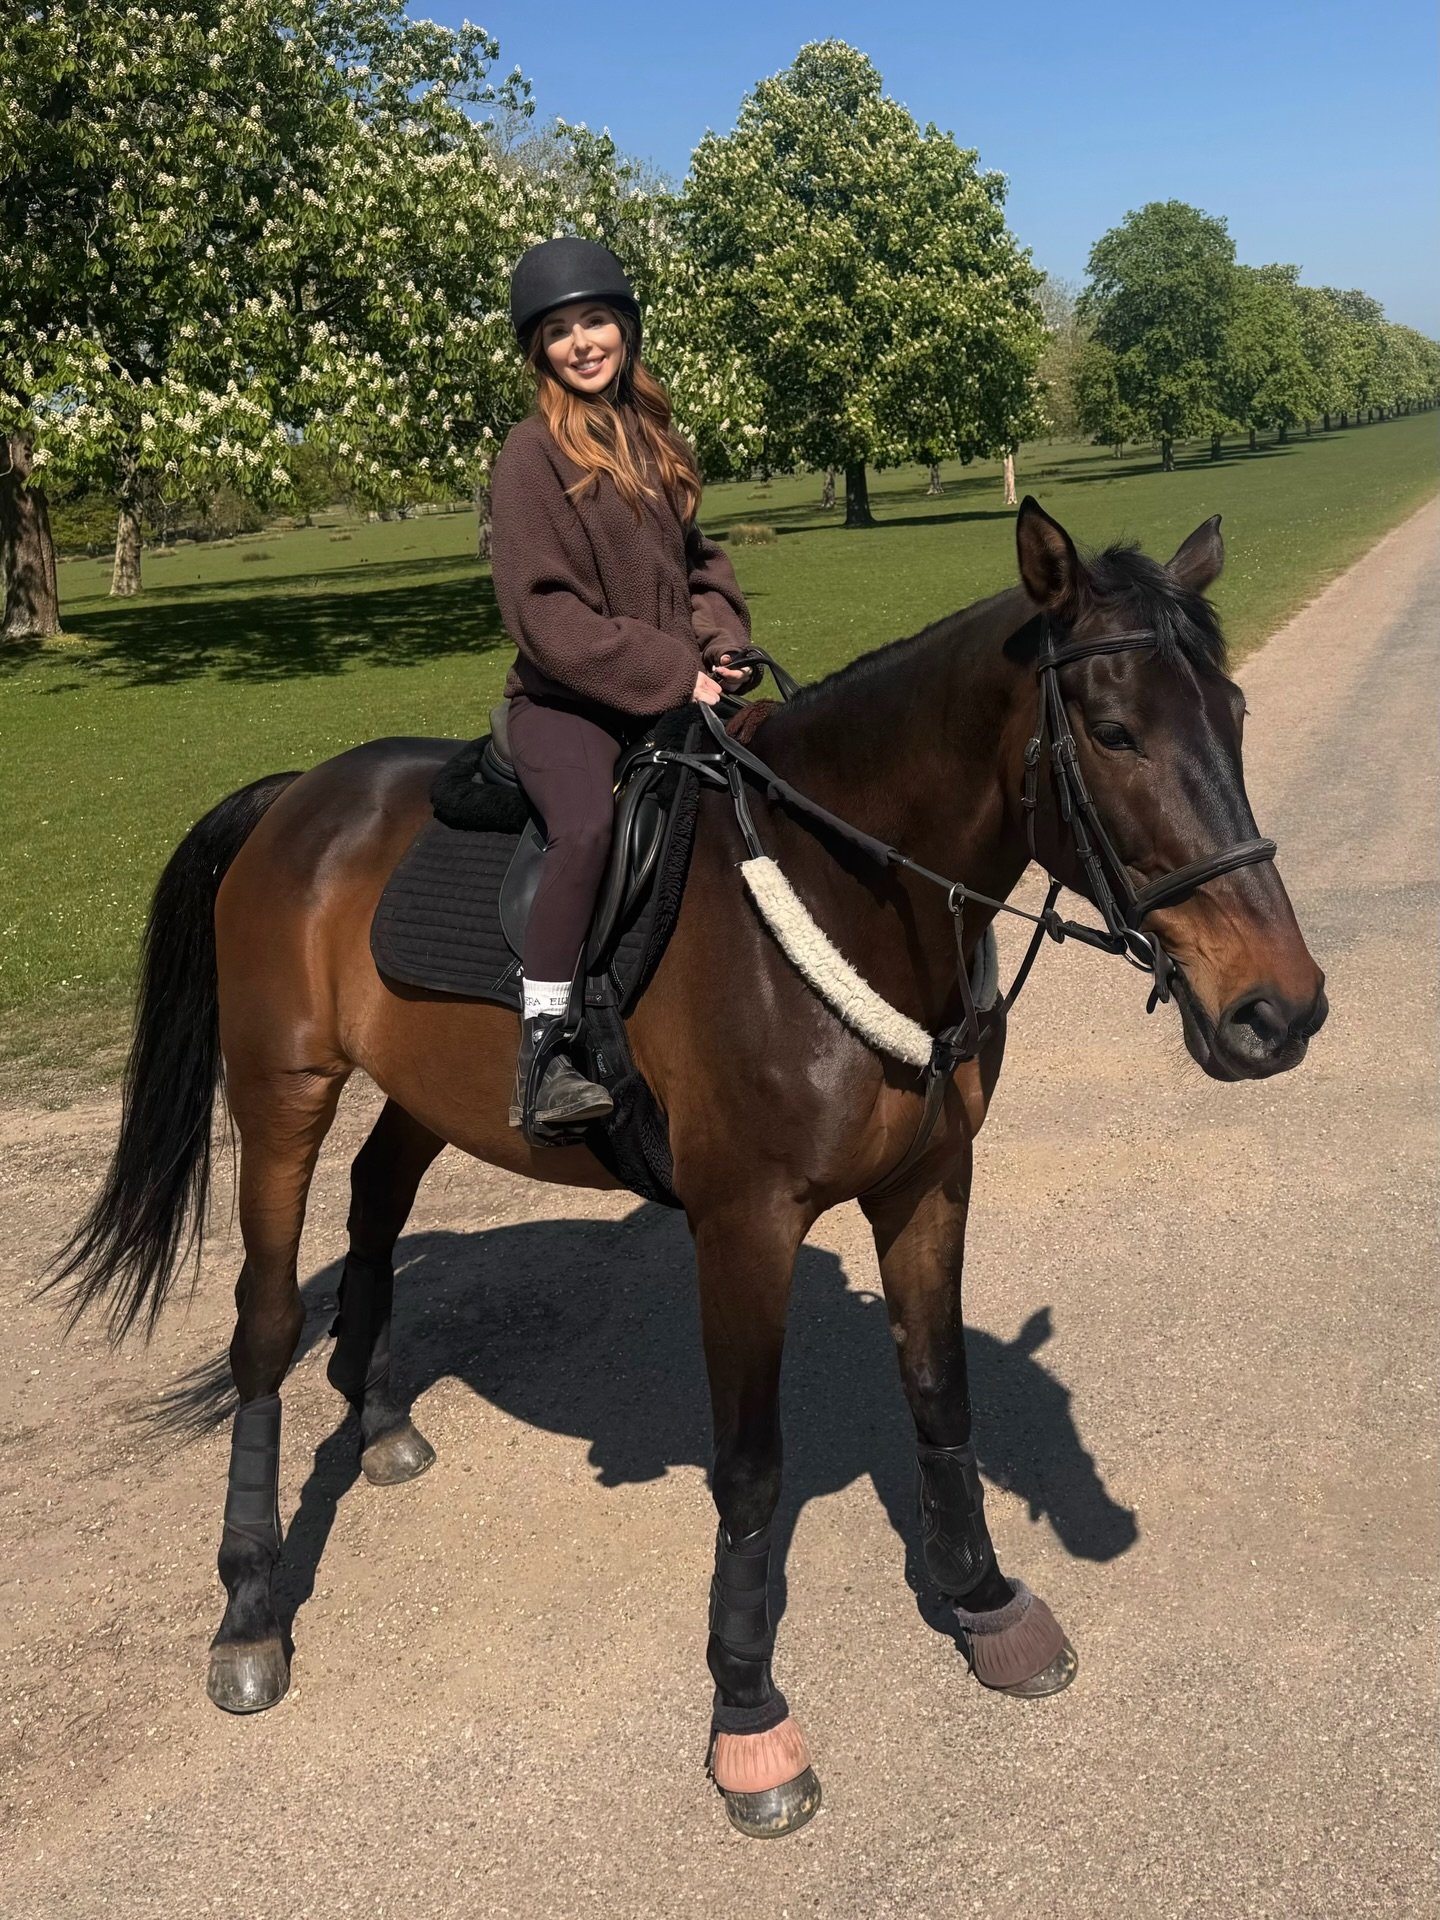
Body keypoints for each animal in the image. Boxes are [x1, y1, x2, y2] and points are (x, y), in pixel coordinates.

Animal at [52, 499, 1326, 1839]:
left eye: (1234, 716)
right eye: (1115, 731)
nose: (1278, 1010)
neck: (846, 888)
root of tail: (299, 795)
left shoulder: (929, 1185)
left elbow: (941, 1396)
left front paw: (981, 1601)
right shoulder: (746, 1226)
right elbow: (752, 1472)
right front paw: (749, 1710)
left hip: (423, 1089)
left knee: (378, 1202)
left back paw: (382, 1414)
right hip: (283, 1090)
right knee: (262, 1323)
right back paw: (250, 1605)